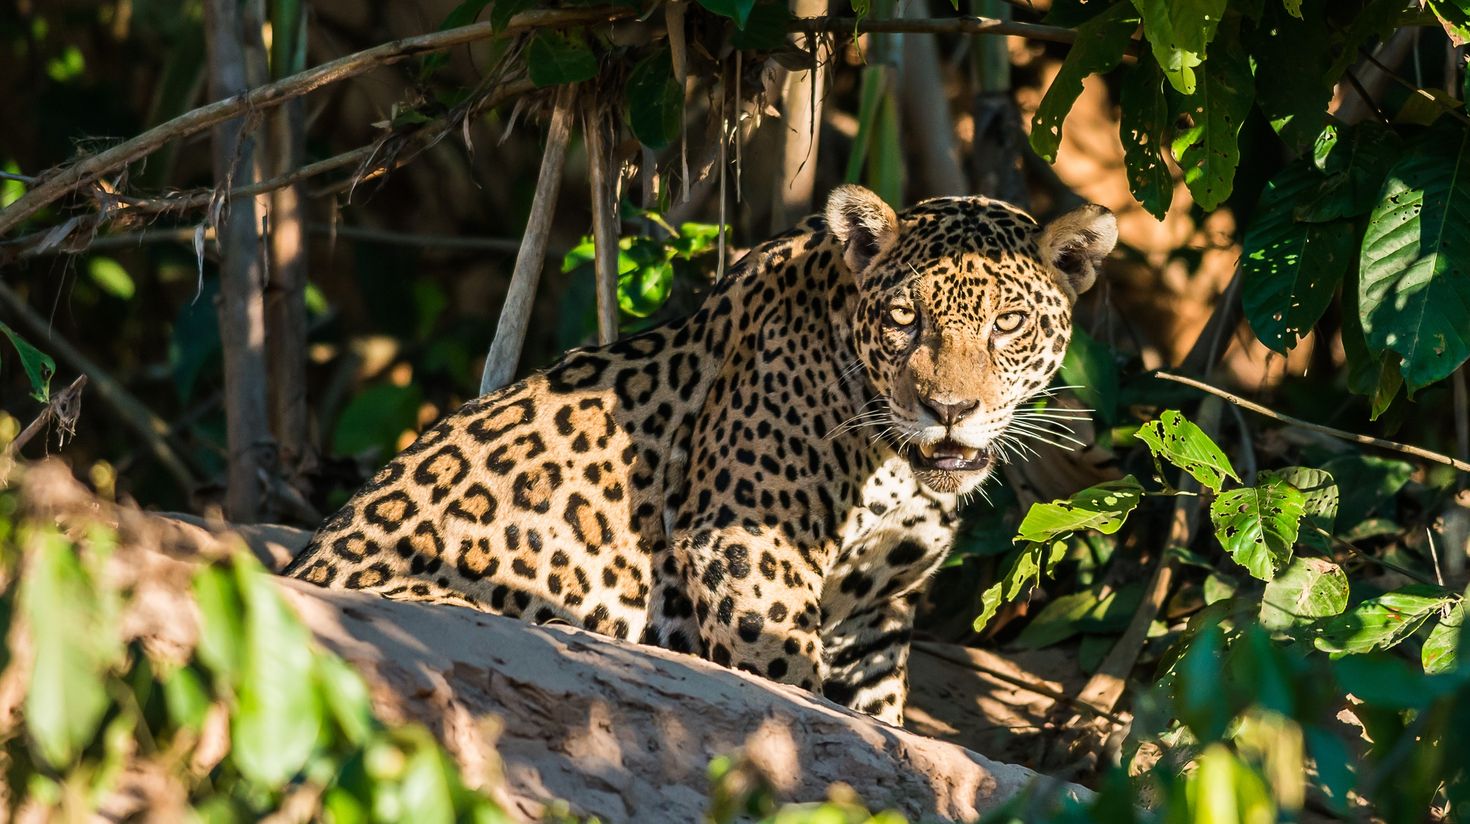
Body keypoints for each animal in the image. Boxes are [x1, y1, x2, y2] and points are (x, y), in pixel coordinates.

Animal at [284, 185, 1117, 726]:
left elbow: (880, 722)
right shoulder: (747, 544)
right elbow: (787, 681)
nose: (948, 411)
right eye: (904, 319)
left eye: (1008, 323)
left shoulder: (878, 610)